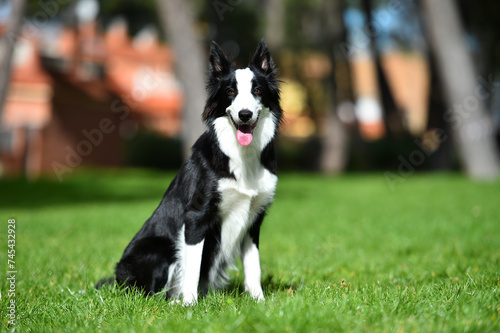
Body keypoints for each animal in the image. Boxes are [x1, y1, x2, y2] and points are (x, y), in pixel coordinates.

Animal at [98, 39, 282, 304]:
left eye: (257, 91)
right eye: (230, 92)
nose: (245, 114)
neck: (241, 156)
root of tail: (117, 278)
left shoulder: (253, 220)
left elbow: (253, 266)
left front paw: (259, 301)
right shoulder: (196, 217)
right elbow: (193, 268)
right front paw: (189, 305)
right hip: (159, 250)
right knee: (150, 294)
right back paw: (174, 302)